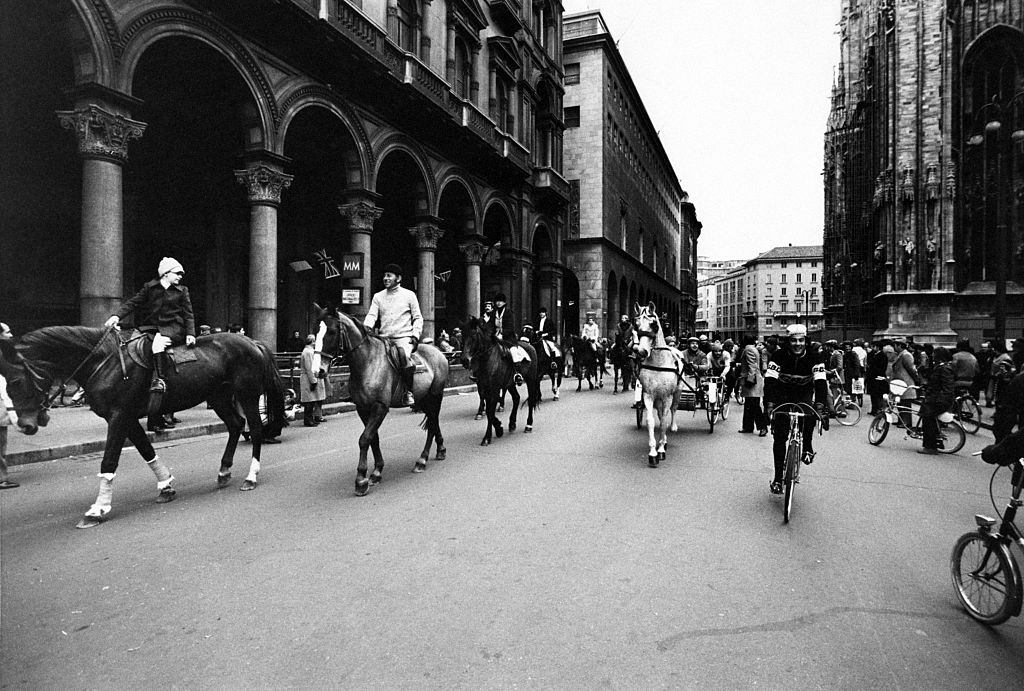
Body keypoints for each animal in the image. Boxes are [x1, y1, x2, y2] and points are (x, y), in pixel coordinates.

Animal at [0, 327, 284, 528]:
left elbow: (109, 460)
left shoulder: (119, 416)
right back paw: (224, 470)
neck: (105, 362)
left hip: (247, 395)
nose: (25, 425)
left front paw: (97, 509)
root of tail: (253, 342)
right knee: (236, 426)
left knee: (255, 430)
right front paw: (166, 486)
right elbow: (146, 450)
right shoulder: (126, 418)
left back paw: (250, 477)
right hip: (219, 397)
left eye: (15, 381)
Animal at [315, 305, 448, 495]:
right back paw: (440, 450)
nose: (318, 370)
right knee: (433, 422)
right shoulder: (363, 408)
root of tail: (437, 352)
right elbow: (373, 438)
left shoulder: (380, 407)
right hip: (422, 399)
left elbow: (364, 438)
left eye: (332, 331)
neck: (367, 362)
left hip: (435, 396)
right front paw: (376, 471)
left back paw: (422, 460)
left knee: (432, 424)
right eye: (315, 331)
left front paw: (361, 479)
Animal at [462, 317, 544, 446]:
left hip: (530, 380)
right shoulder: (485, 388)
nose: (464, 360)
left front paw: (487, 437)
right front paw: (499, 428)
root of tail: (529, 345)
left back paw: (528, 425)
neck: (488, 359)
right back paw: (512, 424)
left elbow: (490, 411)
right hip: (510, 384)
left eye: (474, 336)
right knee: (516, 398)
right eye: (463, 334)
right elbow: (489, 409)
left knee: (530, 401)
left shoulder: (494, 389)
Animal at [630, 300, 679, 466]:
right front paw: (653, 452)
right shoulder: (649, 395)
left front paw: (661, 450)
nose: (641, 351)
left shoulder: (667, 396)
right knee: (660, 413)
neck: (658, 362)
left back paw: (671, 431)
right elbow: (651, 421)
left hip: (676, 393)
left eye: (654, 324)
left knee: (673, 410)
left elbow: (664, 421)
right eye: (636, 324)